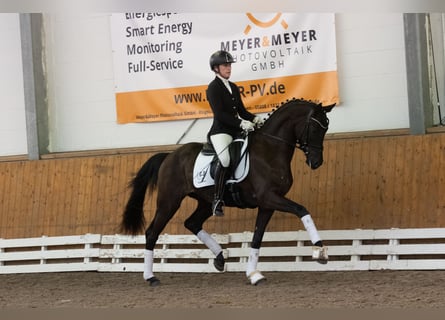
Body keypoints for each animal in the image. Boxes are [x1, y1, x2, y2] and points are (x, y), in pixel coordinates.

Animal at [119, 97, 334, 284]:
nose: (316, 162)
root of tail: (169, 156)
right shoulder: (269, 197)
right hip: (169, 201)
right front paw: (319, 250)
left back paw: (220, 257)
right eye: (315, 127)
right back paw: (151, 277)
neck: (270, 149)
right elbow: (301, 210)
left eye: (326, 127)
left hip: (206, 202)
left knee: (192, 223)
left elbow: (257, 238)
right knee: (152, 232)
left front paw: (253, 274)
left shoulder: (268, 204)